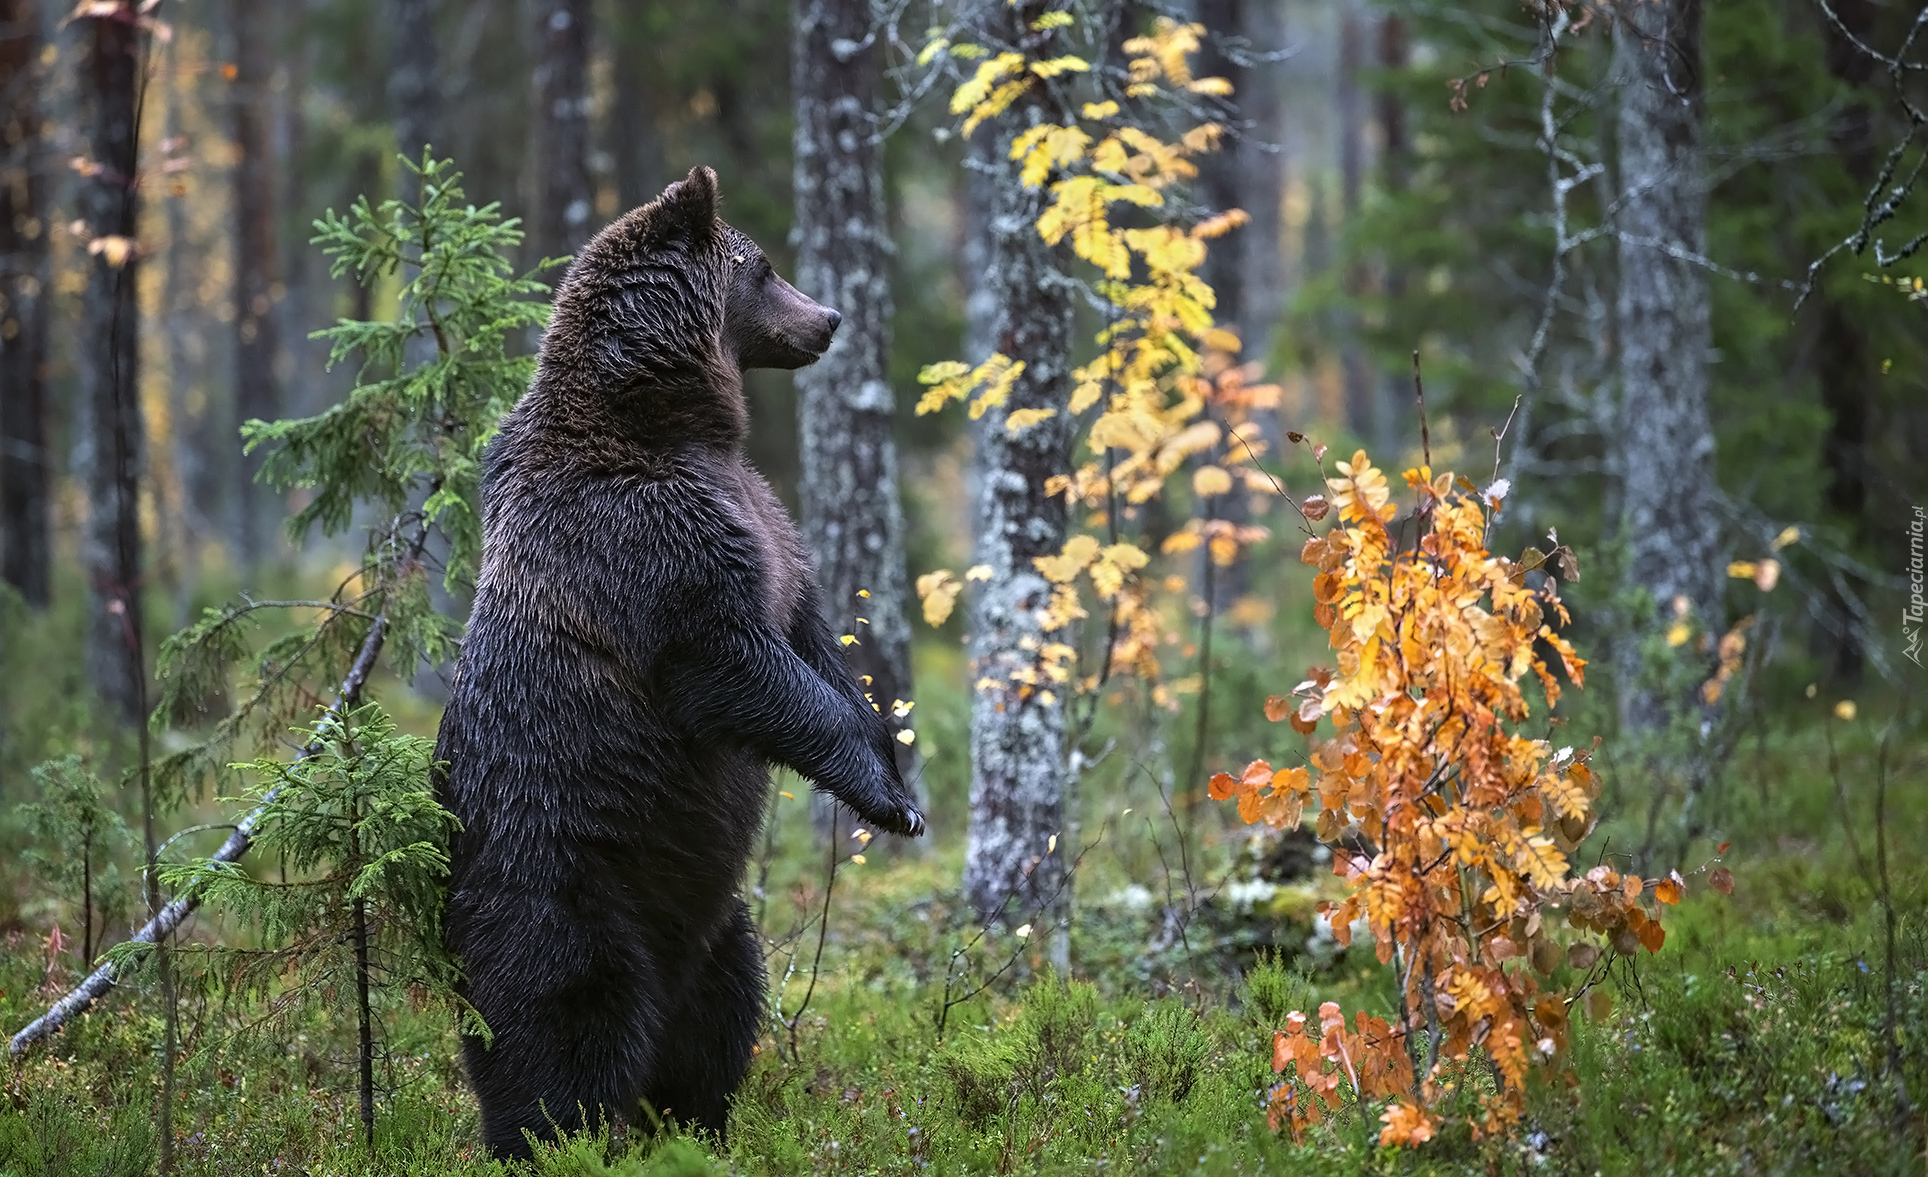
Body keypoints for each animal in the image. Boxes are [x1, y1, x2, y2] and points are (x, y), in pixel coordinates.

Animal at [431, 164, 925, 1157]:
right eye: (763, 266)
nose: (829, 318)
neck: (671, 423)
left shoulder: (768, 525)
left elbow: (811, 641)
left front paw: (893, 766)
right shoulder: (646, 543)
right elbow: (737, 665)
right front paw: (886, 798)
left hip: (712, 915)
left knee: (723, 1010)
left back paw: (694, 1123)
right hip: (559, 881)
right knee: (564, 1021)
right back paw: (554, 1138)